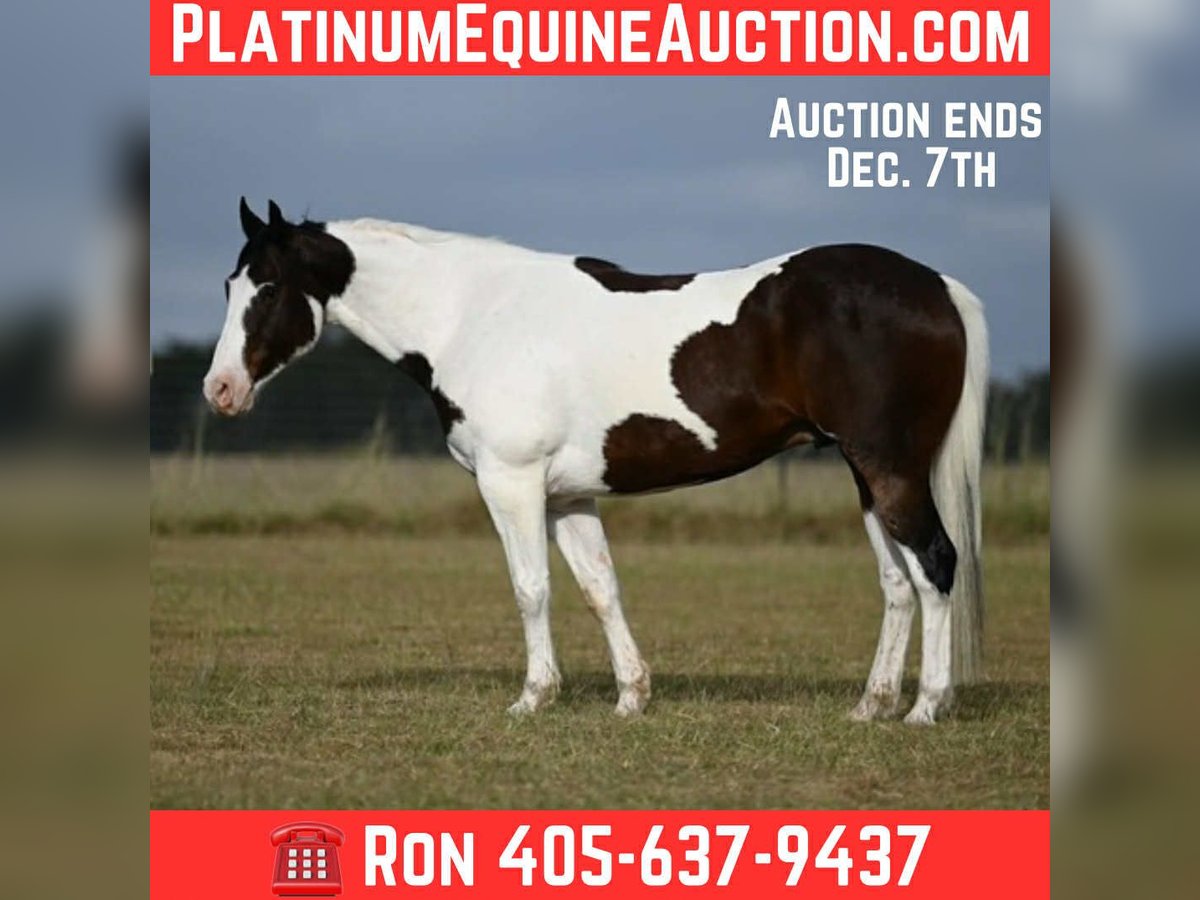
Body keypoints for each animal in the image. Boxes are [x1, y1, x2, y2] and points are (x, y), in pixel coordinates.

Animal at [204, 198, 987, 725]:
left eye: (267, 287)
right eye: (229, 286)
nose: (221, 390)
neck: (471, 317)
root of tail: (938, 286)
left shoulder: (512, 485)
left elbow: (531, 589)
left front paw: (532, 698)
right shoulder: (568, 497)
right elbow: (600, 589)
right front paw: (632, 697)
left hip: (889, 467)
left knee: (936, 564)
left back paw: (926, 707)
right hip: (867, 472)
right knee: (898, 582)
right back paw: (871, 705)